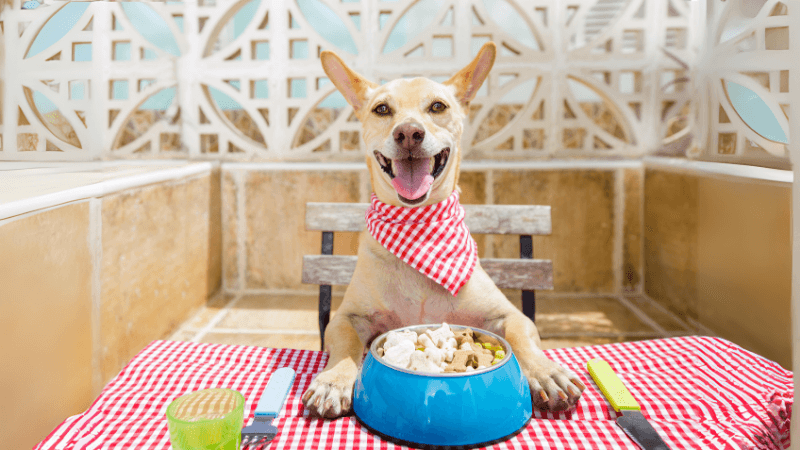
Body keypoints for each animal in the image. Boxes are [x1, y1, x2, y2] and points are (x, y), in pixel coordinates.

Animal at [304, 42, 584, 418]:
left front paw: (546, 371)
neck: (418, 229)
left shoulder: (509, 315)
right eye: (382, 109)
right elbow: (347, 344)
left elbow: (520, 336)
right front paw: (334, 379)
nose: (409, 133)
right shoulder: (347, 317)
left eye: (438, 106)